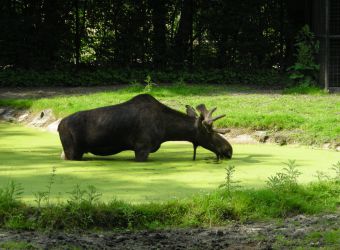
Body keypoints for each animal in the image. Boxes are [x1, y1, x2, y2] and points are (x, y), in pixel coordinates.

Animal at [59, 94, 234, 162]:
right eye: (209, 133)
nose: (229, 149)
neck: (166, 130)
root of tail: (59, 126)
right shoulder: (142, 148)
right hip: (72, 151)